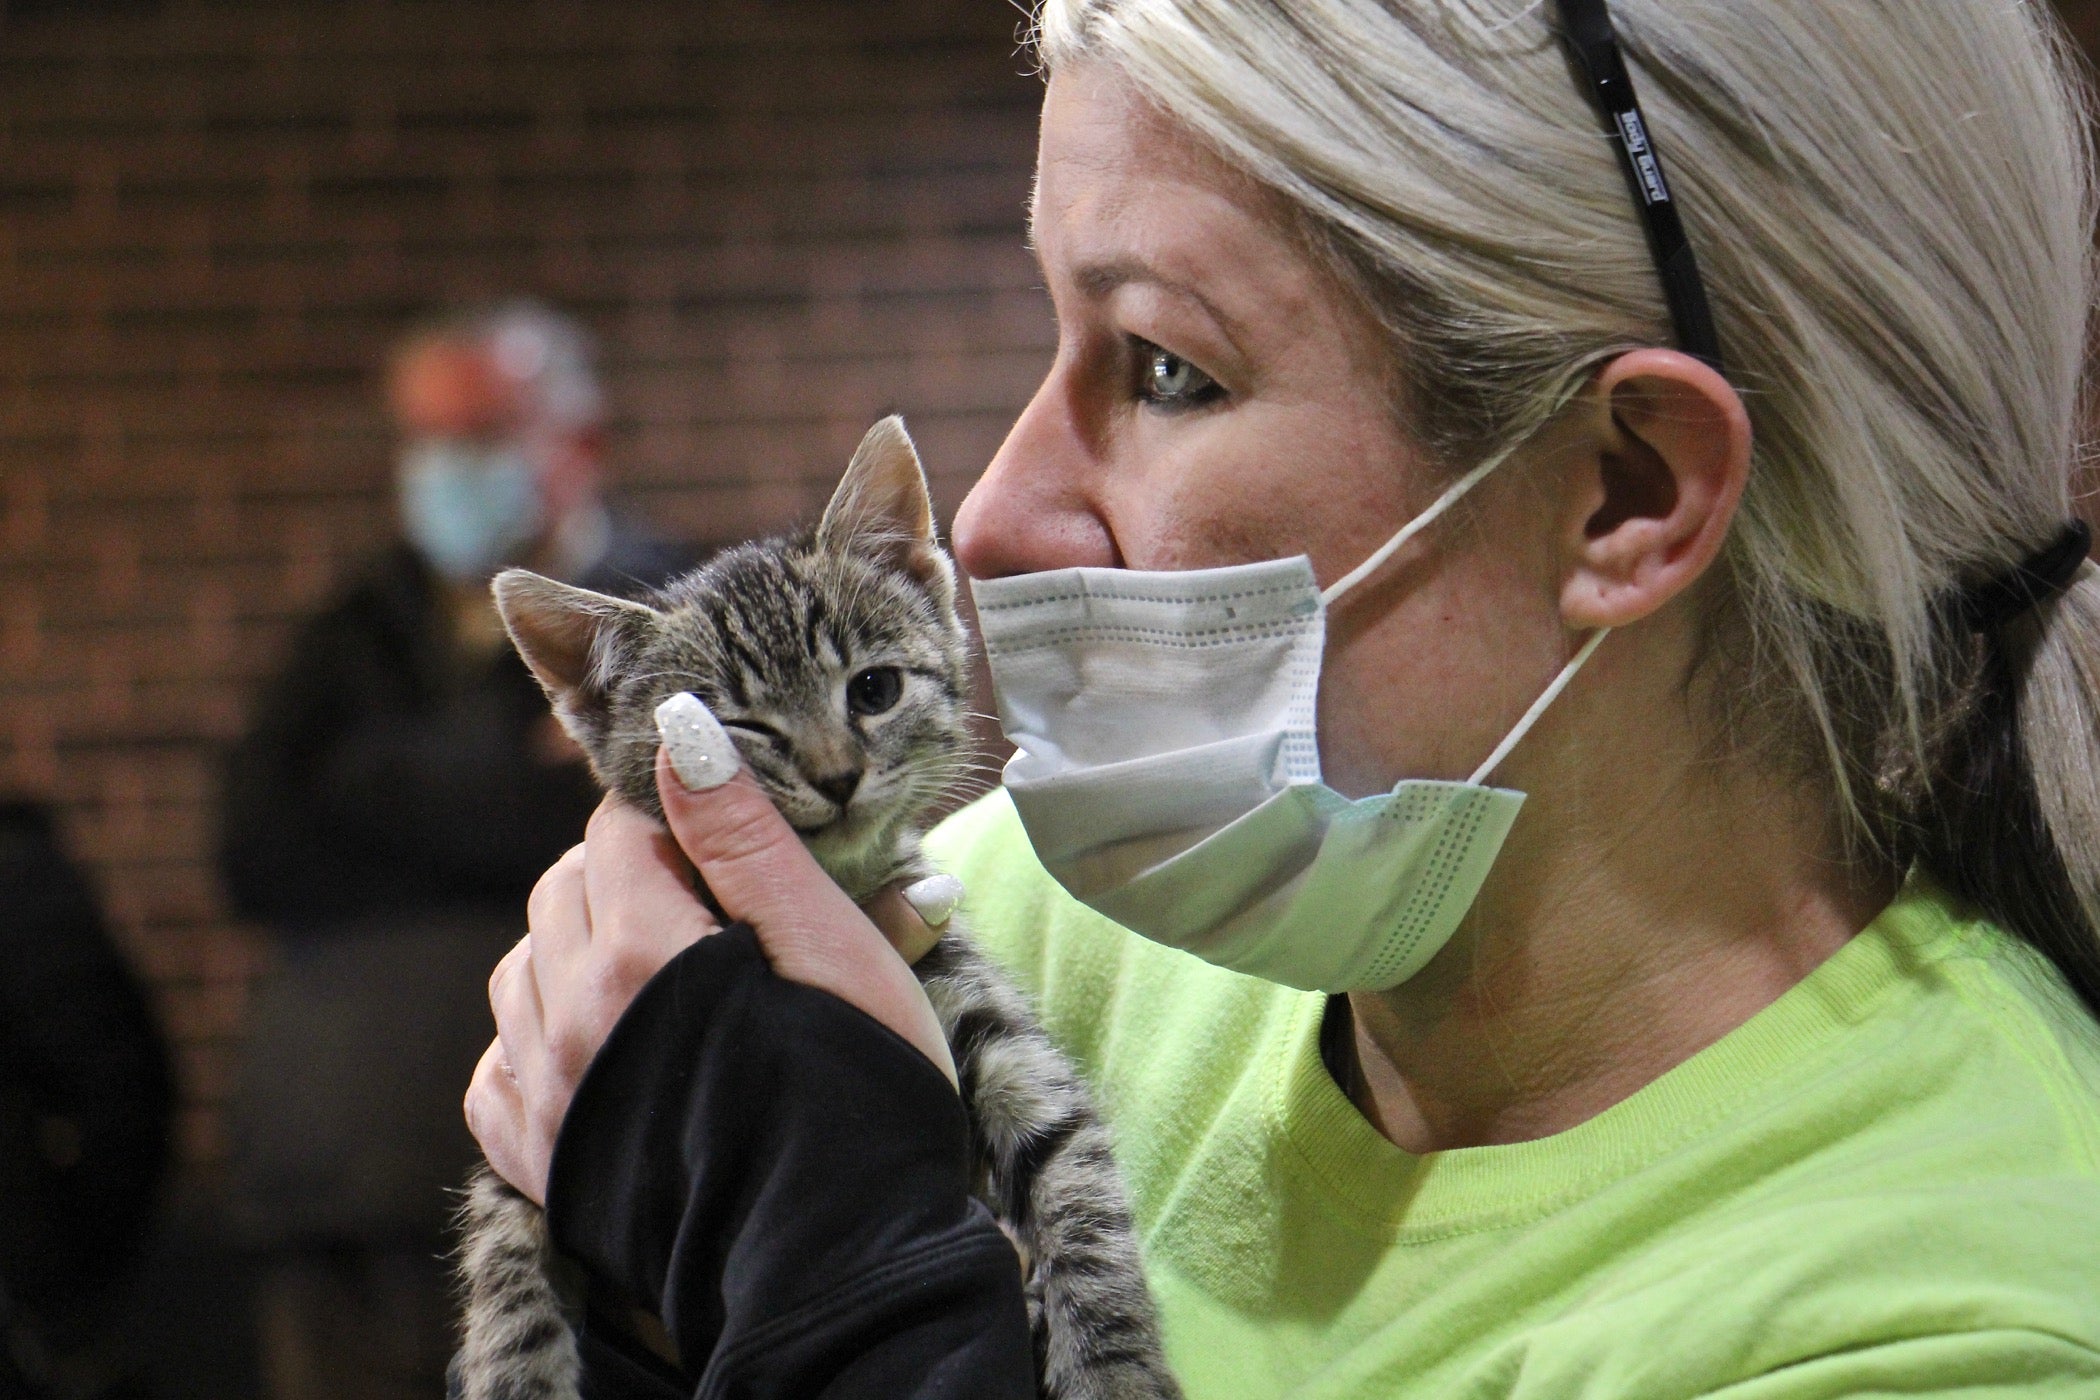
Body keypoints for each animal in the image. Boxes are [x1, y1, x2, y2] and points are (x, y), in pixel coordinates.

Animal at [453, 415, 1184, 1400]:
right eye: (736, 731)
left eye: (873, 690)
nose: (839, 777)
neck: (829, 891)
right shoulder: (518, 1123)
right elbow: (501, 1263)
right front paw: (513, 1374)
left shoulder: (983, 1014)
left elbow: (1078, 1187)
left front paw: (1112, 1363)